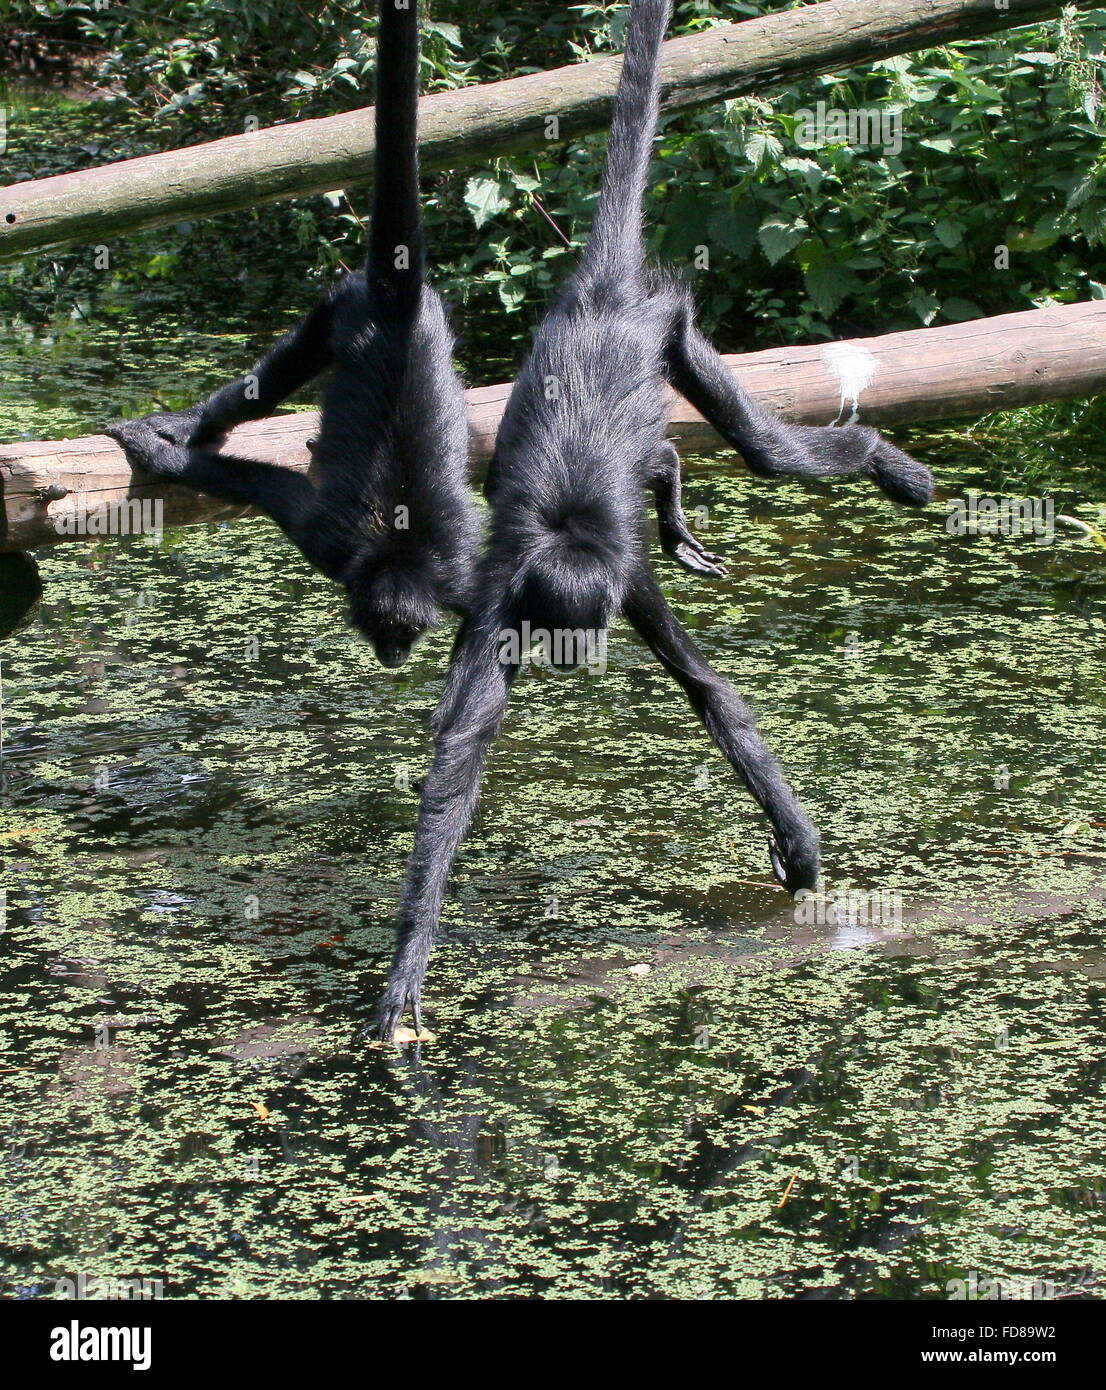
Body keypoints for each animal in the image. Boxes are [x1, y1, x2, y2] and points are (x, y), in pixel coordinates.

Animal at [106, 0, 480, 672]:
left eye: (409, 632)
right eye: (381, 628)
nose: (393, 657)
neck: (399, 549)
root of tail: (399, 302)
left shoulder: (457, 576)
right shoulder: (330, 542)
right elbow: (266, 487)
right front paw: (161, 453)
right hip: (348, 308)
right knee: (284, 369)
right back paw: (198, 421)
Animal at [372, 0, 933, 1045]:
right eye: (554, 635)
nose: (572, 658)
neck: (568, 535)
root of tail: (603, 302)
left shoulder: (619, 581)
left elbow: (709, 693)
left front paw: (800, 851)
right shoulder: (506, 594)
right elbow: (460, 750)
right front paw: (408, 964)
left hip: (672, 332)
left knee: (763, 452)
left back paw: (880, 460)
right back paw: (675, 481)